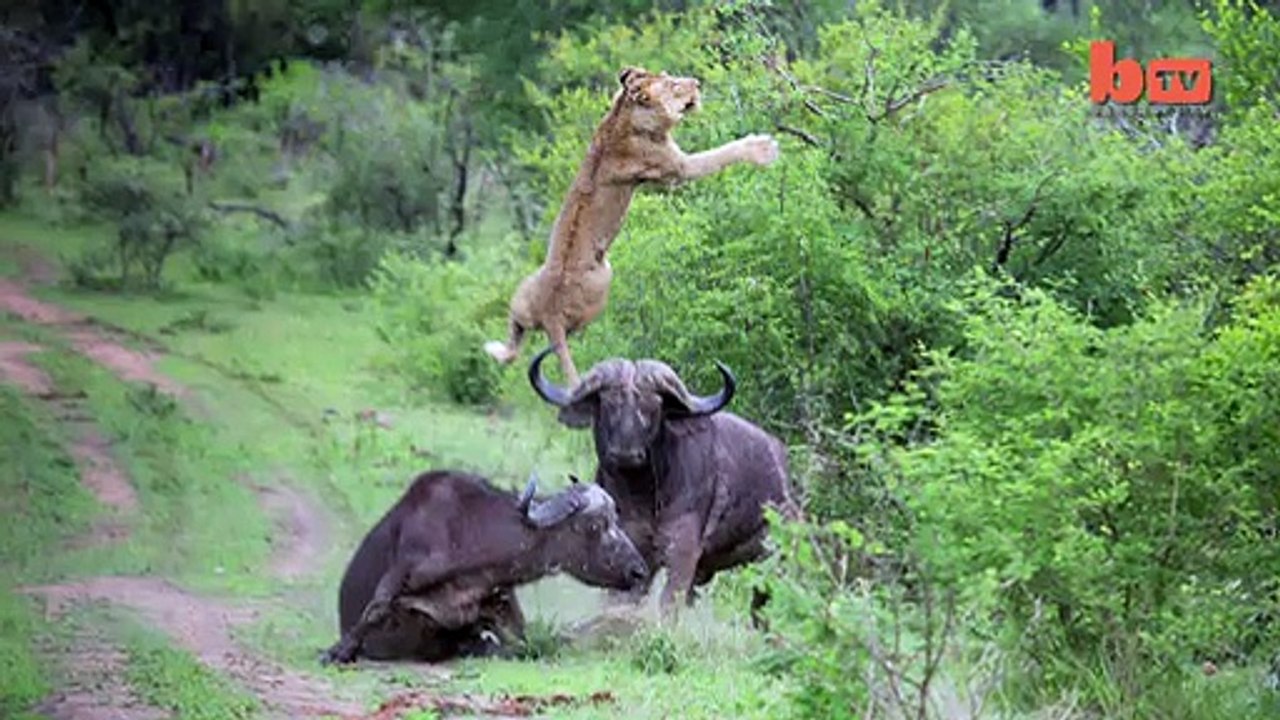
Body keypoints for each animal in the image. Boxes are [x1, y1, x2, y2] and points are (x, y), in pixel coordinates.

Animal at [323, 469, 649, 665]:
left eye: (615, 519)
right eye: (595, 525)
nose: (639, 572)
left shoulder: (502, 603)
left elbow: (523, 642)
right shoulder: (405, 569)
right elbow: (376, 608)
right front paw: (339, 650)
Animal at [483, 66, 781, 387]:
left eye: (670, 75)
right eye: (674, 85)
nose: (697, 83)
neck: (623, 114)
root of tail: (550, 317)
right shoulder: (678, 168)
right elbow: (723, 152)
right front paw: (764, 148)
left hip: (523, 295)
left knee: (516, 334)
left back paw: (497, 349)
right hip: (603, 281)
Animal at [528, 346, 800, 624]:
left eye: (653, 407)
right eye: (609, 403)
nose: (626, 453)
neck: (642, 499)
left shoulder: (682, 552)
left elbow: (669, 604)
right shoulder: (631, 551)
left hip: (771, 561)